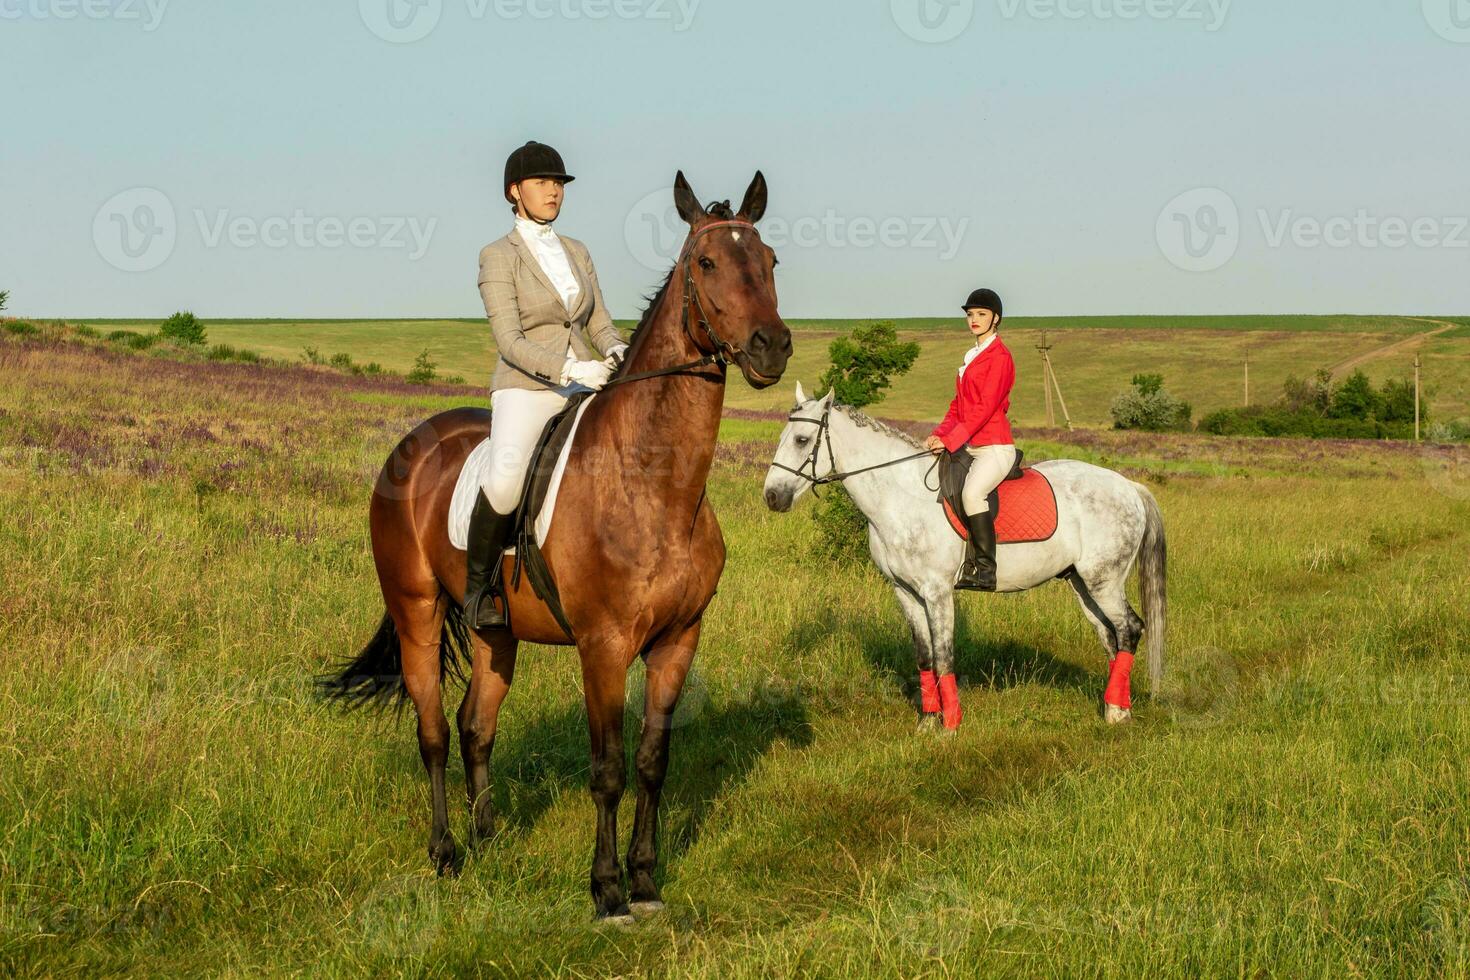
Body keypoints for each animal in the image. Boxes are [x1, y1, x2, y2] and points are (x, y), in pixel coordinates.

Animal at [317, 172, 787, 922]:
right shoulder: (603, 646)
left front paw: (647, 883)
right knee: (434, 732)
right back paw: (445, 854)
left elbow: (653, 762)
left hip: (495, 632)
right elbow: (609, 769)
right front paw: (607, 892)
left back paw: (487, 842)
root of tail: (413, 443)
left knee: (476, 724)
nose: (773, 347)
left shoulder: (679, 640)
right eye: (708, 263)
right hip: (417, 610)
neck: (654, 480)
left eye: (770, 261)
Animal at [764, 384, 1164, 728]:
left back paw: (1116, 712)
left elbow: (944, 657)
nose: (772, 496)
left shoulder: (937, 592)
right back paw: (1117, 708)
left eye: (801, 440)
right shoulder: (905, 592)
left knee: (1129, 629)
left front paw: (950, 726)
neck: (901, 496)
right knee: (1110, 636)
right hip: (1082, 582)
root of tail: (1129, 486)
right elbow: (925, 656)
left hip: (1104, 580)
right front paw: (928, 722)